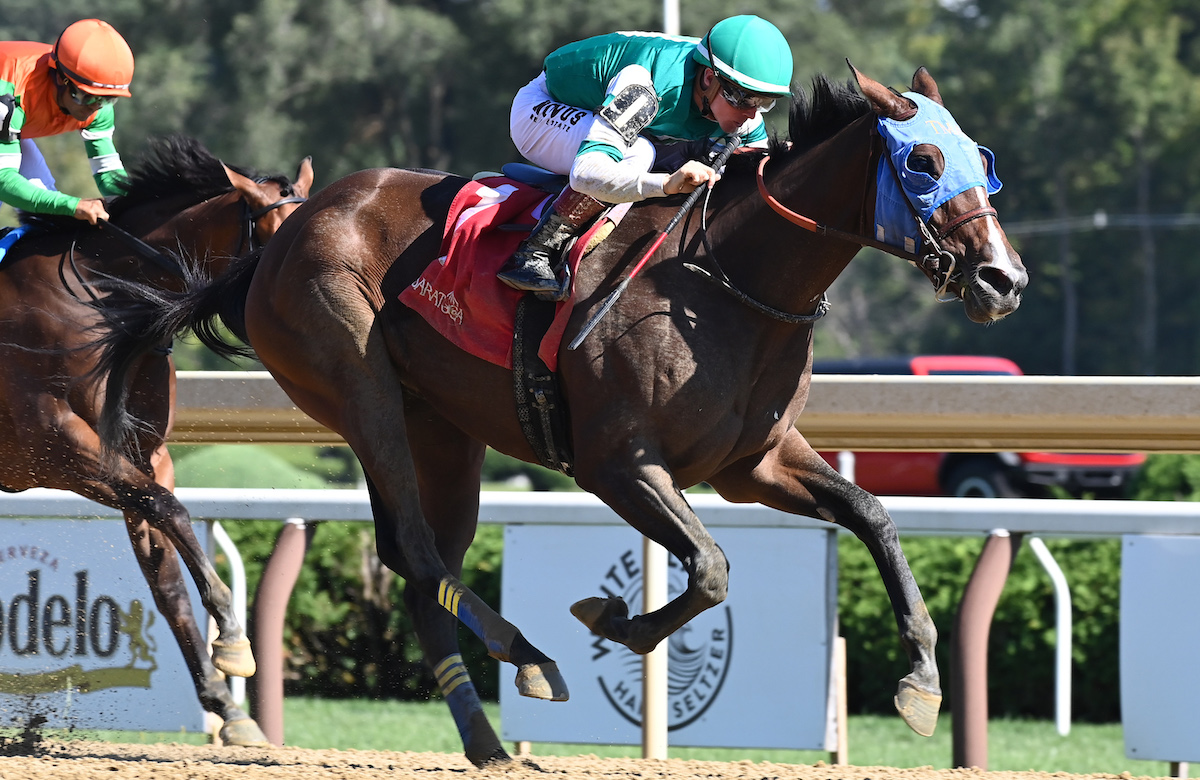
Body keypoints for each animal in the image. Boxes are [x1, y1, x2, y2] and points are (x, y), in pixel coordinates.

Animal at [1, 136, 309, 744]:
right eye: (280, 245)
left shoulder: (144, 457)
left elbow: (166, 578)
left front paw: (228, 706)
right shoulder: (59, 449)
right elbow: (172, 511)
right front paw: (232, 636)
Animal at [93, 65, 1027, 758]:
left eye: (982, 159)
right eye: (922, 164)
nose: (1004, 279)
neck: (729, 279)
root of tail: (276, 242)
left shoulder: (751, 465)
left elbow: (871, 514)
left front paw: (921, 683)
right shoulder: (618, 463)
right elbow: (710, 567)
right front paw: (613, 619)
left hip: (444, 430)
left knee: (419, 566)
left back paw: (486, 741)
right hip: (357, 384)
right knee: (418, 550)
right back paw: (526, 655)